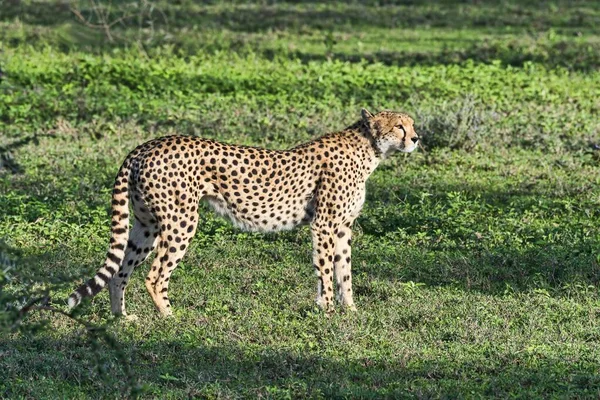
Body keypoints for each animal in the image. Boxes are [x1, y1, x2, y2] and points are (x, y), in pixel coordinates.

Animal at [68, 108, 418, 316]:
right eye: (399, 126)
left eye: (412, 124)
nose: (416, 138)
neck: (369, 149)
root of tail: (147, 145)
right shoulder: (324, 225)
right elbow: (325, 271)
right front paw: (328, 311)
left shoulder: (343, 227)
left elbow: (344, 271)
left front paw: (351, 311)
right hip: (181, 221)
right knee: (155, 276)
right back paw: (170, 317)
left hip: (147, 224)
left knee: (120, 271)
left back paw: (122, 318)